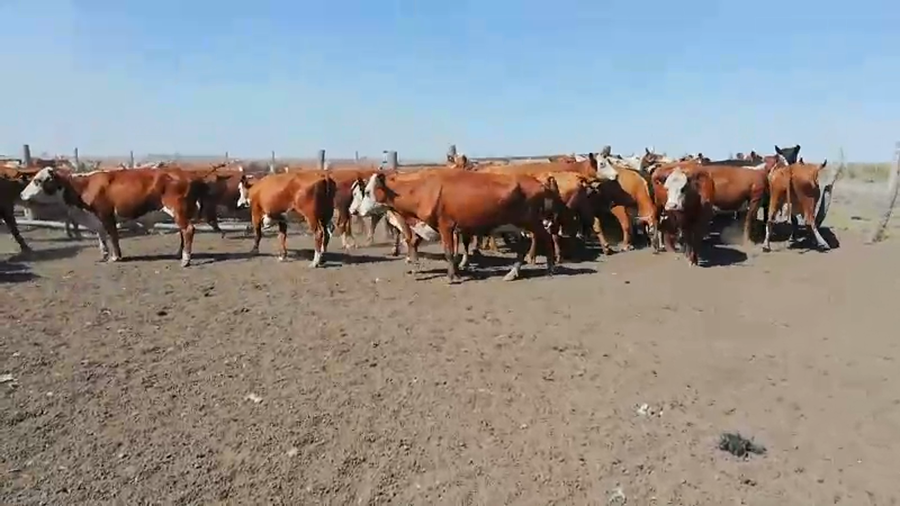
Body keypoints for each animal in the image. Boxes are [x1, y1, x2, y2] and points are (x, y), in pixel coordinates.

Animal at [19, 167, 221, 266]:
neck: (83, 187)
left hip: (178, 209)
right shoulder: (97, 219)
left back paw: (185, 260)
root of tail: (189, 175)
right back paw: (179, 254)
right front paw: (104, 255)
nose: (21, 195)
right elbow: (101, 238)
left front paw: (116, 257)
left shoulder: (107, 215)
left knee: (188, 230)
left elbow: (113, 236)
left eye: (37, 181)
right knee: (182, 232)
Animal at [350, 169, 564, 283]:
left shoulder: (446, 226)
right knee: (523, 246)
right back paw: (512, 273)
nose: (356, 211)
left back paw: (550, 268)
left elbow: (447, 252)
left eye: (367, 192)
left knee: (545, 238)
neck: (424, 190)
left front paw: (452, 277)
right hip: (517, 226)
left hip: (531, 222)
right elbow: (449, 251)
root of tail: (540, 183)